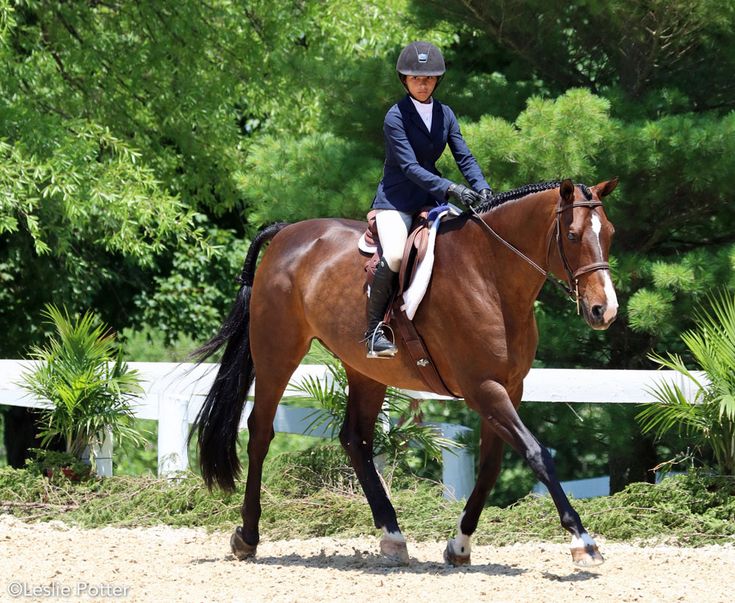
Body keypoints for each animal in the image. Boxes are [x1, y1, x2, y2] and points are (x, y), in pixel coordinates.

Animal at [194, 177, 620, 568]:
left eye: (610, 233)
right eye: (573, 235)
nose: (605, 311)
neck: (491, 275)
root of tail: (286, 232)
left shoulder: (508, 388)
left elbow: (490, 467)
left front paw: (459, 545)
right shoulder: (483, 388)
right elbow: (537, 454)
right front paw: (583, 542)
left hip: (364, 369)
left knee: (355, 439)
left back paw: (392, 536)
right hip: (277, 352)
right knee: (260, 432)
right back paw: (248, 536)